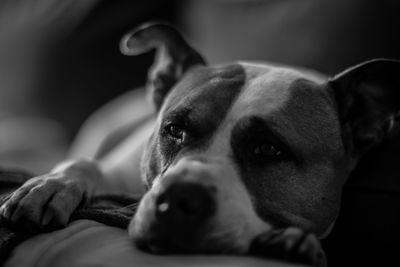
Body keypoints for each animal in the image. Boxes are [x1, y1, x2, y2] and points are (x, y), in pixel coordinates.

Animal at [0, 23, 400, 267]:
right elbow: (86, 164)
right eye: (174, 129)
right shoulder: (122, 166)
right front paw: (50, 186)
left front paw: (294, 243)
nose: (180, 198)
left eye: (269, 149)